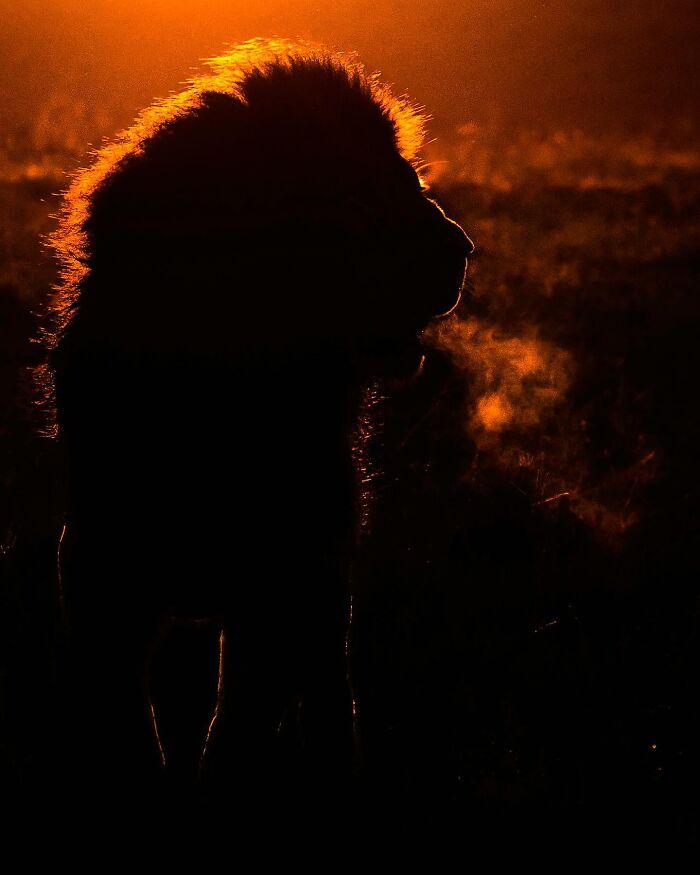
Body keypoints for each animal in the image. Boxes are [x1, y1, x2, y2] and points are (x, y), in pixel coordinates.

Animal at [40, 38, 473, 802]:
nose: (464, 250)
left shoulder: (282, 585)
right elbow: (128, 723)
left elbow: (234, 738)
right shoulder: (100, 568)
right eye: (374, 191)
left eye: (409, 176)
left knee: (329, 701)